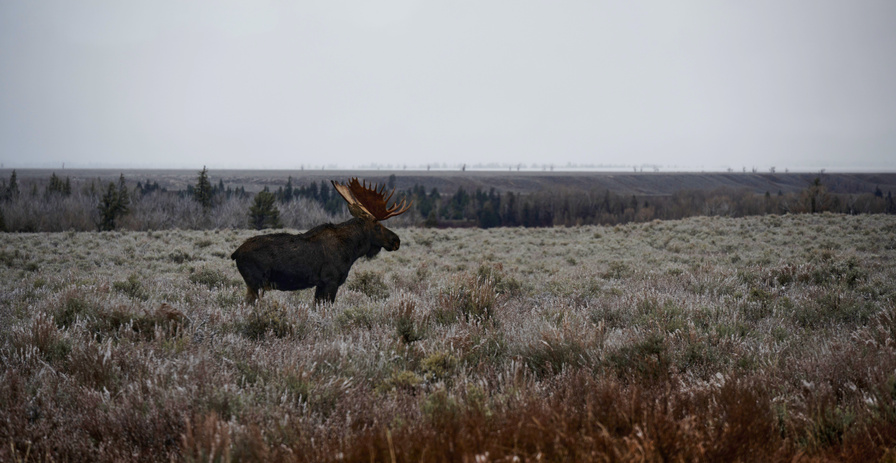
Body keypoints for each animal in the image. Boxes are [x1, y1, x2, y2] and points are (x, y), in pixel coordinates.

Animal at [231, 178, 412, 304]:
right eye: (376, 224)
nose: (396, 240)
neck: (351, 250)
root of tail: (235, 253)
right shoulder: (330, 280)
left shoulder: (321, 284)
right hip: (256, 283)